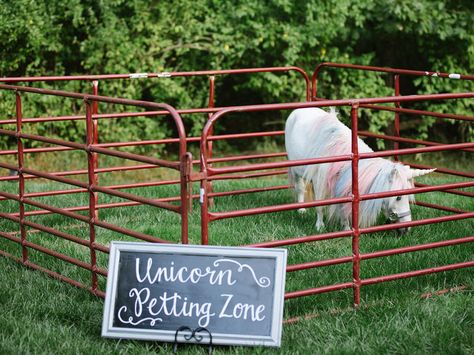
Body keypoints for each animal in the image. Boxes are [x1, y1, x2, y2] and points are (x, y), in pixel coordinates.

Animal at [284, 108, 436, 234]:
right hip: (296, 170)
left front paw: (346, 228)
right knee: (300, 188)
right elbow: (320, 205)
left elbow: (344, 206)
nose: (406, 229)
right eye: (398, 197)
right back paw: (301, 210)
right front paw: (320, 227)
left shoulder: (343, 184)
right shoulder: (319, 181)